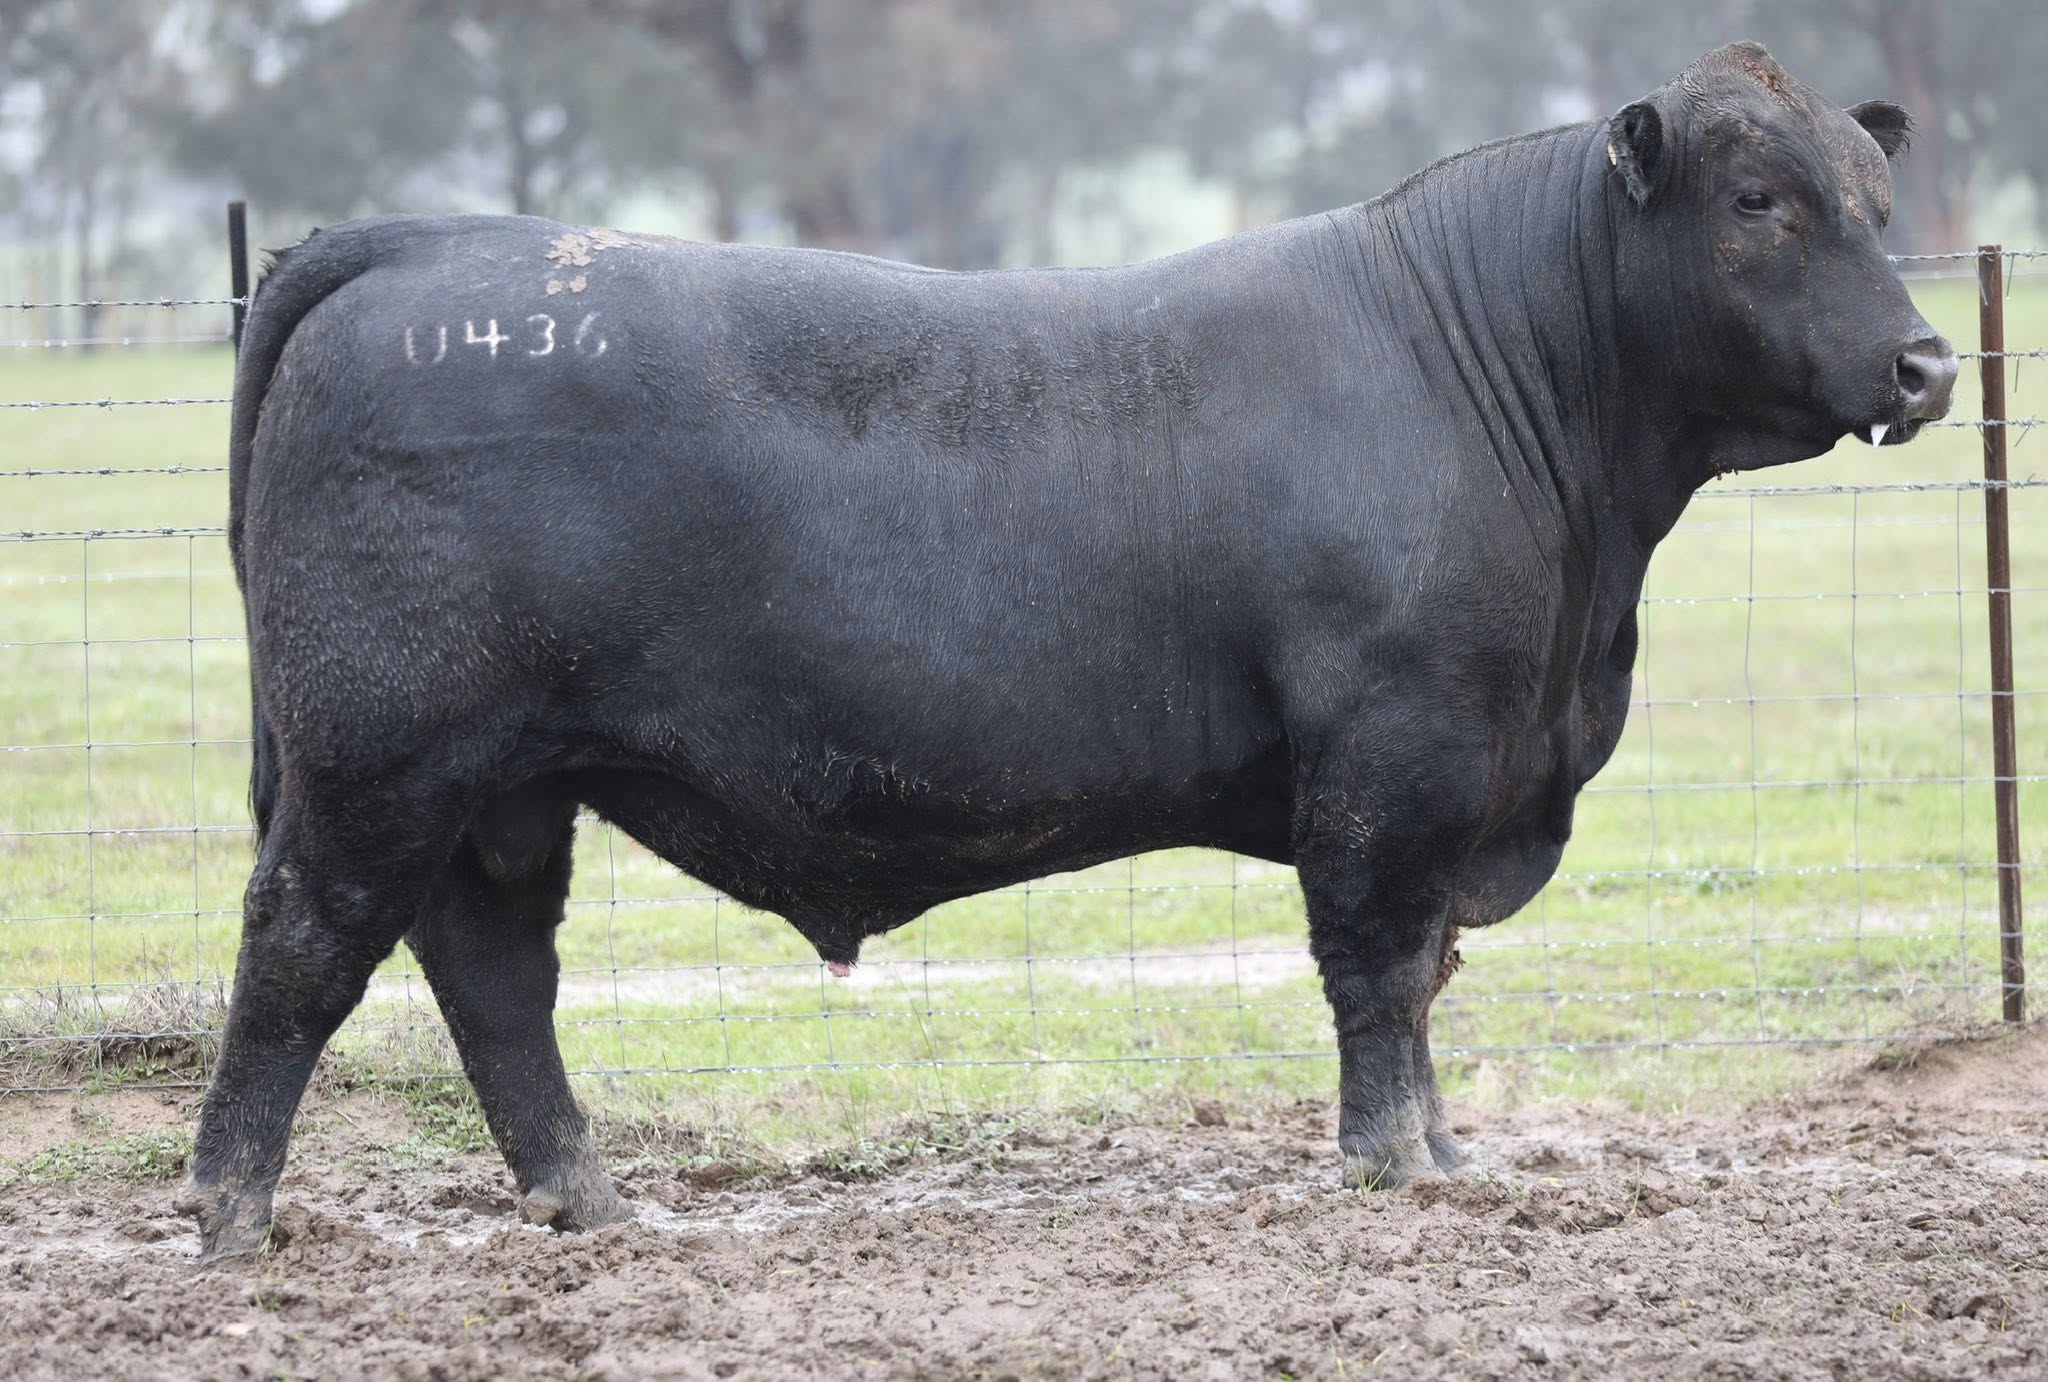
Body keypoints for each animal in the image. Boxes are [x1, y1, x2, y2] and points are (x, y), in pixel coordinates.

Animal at [181, 42, 1956, 1261]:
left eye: (1878, 207)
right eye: (1760, 203)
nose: (1928, 363)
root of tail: (420, 244)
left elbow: (1427, 978)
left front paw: (1447, 1156)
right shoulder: (1394, 761)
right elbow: (1382, 972)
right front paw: (1396, 1165)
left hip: (505, 786)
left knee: (491, 968)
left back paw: (588, 1197)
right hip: (382, 756)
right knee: (305, 944)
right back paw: (232, 1214)